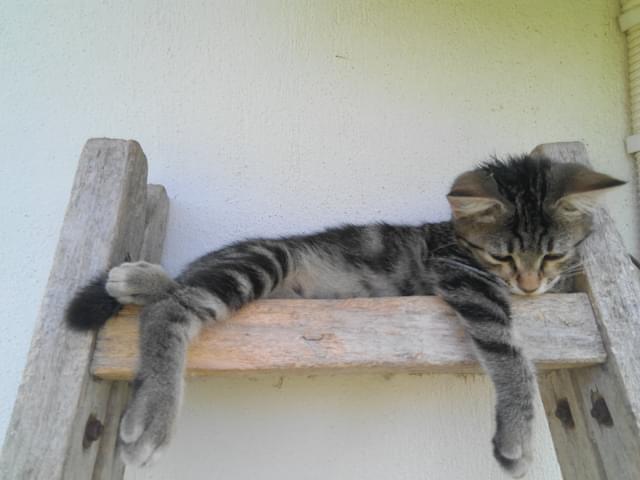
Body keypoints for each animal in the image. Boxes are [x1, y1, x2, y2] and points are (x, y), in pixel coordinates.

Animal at [67, 154, 624, 476]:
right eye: (502, 256)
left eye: (552, 254)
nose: (529, 284)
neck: (454, 238)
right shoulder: (463, 277)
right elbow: (509, 354)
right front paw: (517, 436)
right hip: (265, 261)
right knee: (172, 308)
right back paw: (152, 414)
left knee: (179, 287)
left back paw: (135, 279)